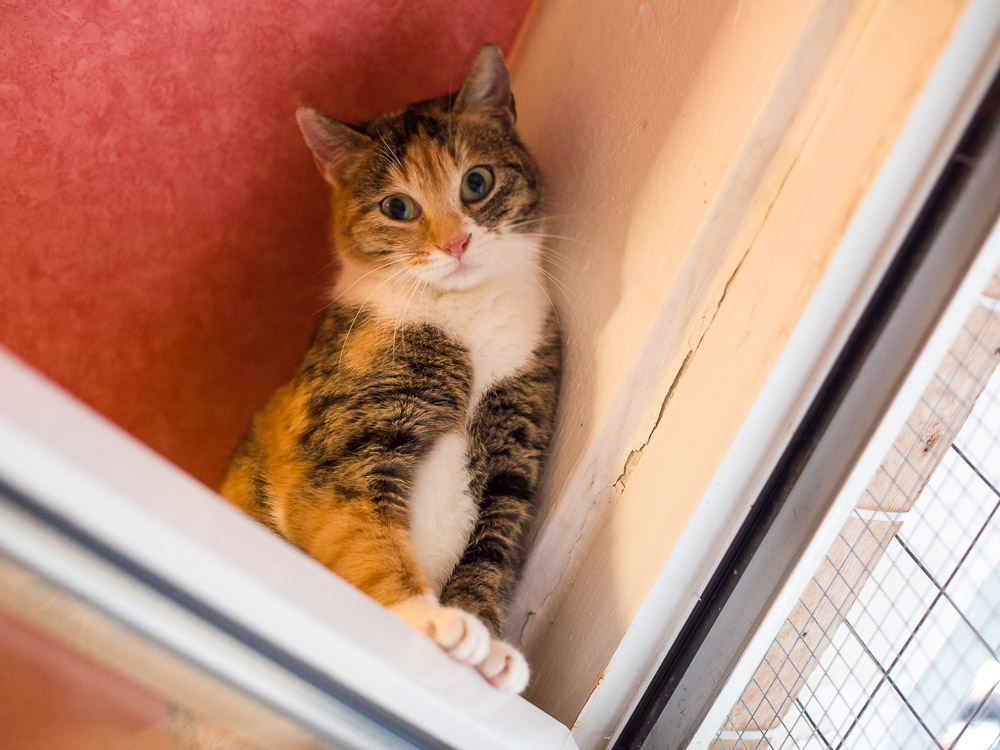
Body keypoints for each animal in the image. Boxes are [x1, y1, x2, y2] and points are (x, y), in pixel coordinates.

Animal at [219, 41, 560, 700]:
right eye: (398, 207)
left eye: (476, 182)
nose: (455, 244)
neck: (463, 317)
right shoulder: (339, 449)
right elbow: (366, 536)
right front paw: (437, 622)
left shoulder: (516, 451)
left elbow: (491, 554)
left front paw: (487, 644)